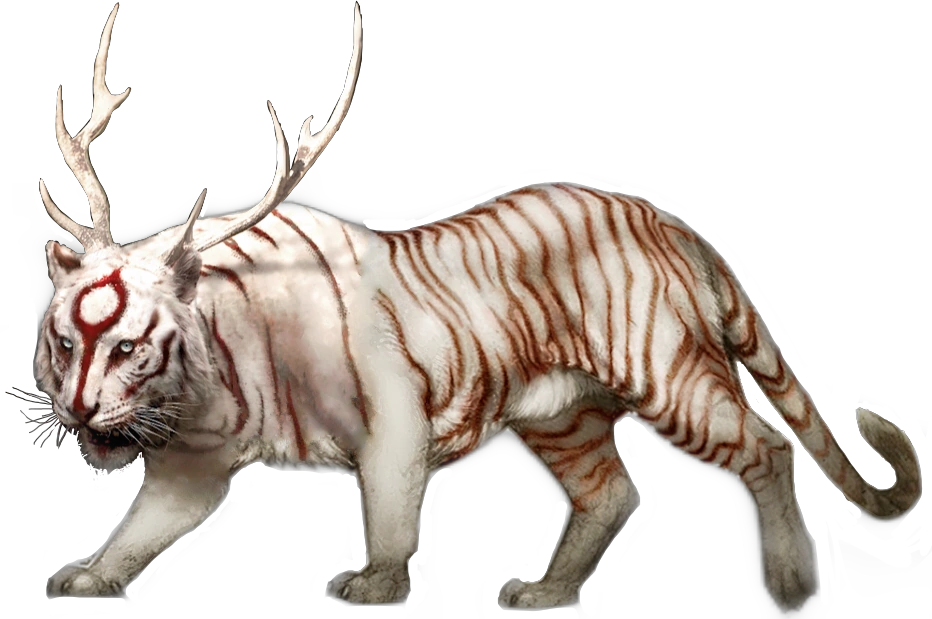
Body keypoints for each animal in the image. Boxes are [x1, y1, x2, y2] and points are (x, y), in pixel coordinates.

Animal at [37, 4, 920, 612]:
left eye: (126, 346)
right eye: (63, 342)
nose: (75, 413)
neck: (212, 368)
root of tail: (675, 224)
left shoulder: (392, 423)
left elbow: (392, 513)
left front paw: (376, 584)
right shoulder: (190, 463)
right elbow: (139, 530)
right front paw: (87, 574)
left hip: (673, 377)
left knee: (768, 447)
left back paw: (792, 584)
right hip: (563, 417)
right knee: (611, 493)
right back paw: (546, 592)